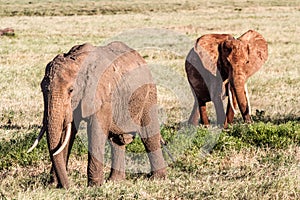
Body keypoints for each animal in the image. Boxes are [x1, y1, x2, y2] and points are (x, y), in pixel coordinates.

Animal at [27, 41, 166, 188]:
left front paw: (94, 186)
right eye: (42, 89)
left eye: (71, 90)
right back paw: (115, 181)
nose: (67, 186)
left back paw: (157, 178)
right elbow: (67, 135)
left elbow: (95, 132)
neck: (78, 61)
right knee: (117, 140)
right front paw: (54, 185)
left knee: (148, 134)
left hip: (149, 92)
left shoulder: (102, 95)